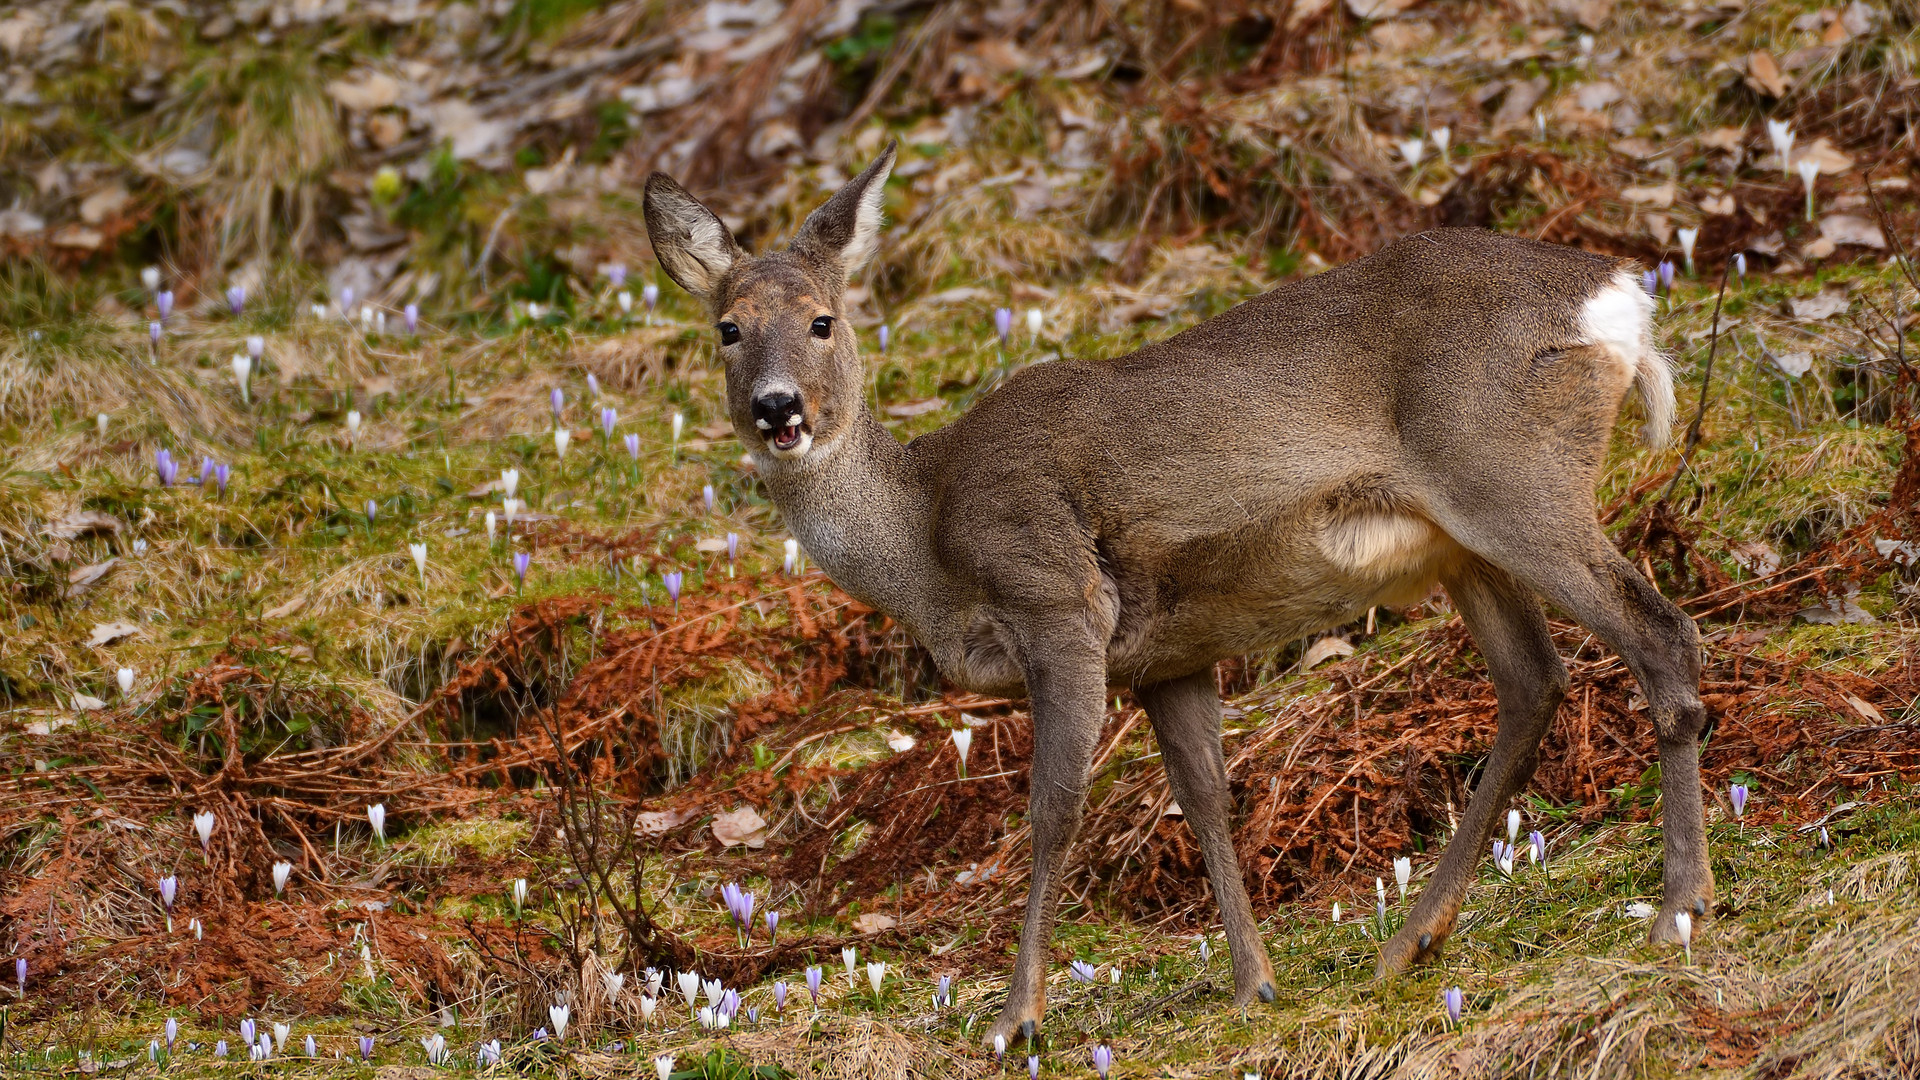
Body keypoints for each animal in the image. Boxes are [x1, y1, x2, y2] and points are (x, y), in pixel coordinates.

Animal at [645, 141, 1712, 1045]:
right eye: (728, 329)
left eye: (823, 320)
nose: (779, 408)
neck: (930, 538)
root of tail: (1618, 301)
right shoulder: (1170, 655)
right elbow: (1203, 801)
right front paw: (1255, 985)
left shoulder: (1059, 601)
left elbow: (1054, 810)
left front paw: (1016, 1018)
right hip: (1464, 545)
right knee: (1534, 683)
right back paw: (1411, 943)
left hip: (1515, 477)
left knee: (1660, 633)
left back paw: (1678, 906)